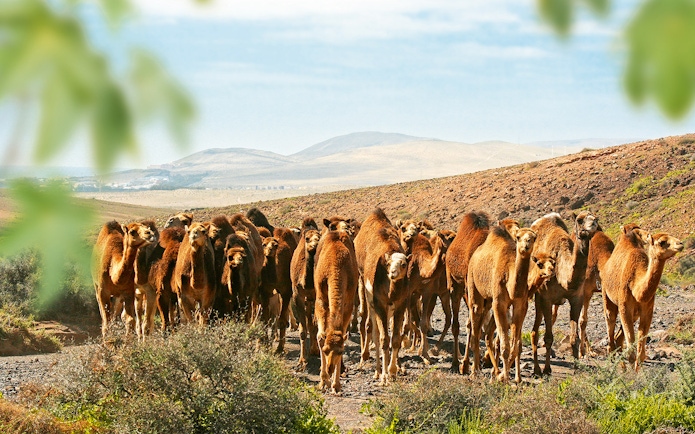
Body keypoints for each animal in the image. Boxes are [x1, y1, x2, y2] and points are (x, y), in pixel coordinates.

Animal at [314, 229, 359, 393]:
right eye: (325, 349)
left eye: (340, 352)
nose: (330, 368)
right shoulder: (320, 298)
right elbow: (320, 335)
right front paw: (323, 382)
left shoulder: (348, 302)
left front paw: (336, 385)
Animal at [354, 208, 409, 384]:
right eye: (389, 264)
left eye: (403, 264)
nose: (392, 273)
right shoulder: (379, 305)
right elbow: (384, 339)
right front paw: (385, 376)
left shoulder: (400, 305)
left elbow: (395, 339)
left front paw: (393, 371)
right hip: (365, 291)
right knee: (372, 329)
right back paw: (375, 369)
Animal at [467, 221, 537, 382]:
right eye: (518, 237)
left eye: (534, 238)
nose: (526, 245)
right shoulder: (499, 303)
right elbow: (505, 346)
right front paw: (503, 378)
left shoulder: (521, 305)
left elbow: (515, 346)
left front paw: (507, 377)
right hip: (473, 285)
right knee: (475, 327)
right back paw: (474, 372)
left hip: (487, 301)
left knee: (484, 332)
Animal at [530, 211, 598, 376]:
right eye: (579, 220)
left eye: (595, 217)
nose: (593, 223)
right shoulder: (546, 298)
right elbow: (548, 337)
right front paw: (547, 369)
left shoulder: (577, 298)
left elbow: (574, 338)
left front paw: (577, 367)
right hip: (537, 296)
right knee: (535, 331)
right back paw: (537, 369)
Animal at [601, 224, 683, 369]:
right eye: (662, 242)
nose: (680, 244)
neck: (636, 286)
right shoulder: (624, 307)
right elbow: (632, 352)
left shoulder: (647, 309)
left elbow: (640, 352)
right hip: (607, 295)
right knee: (610, 324)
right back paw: (614, 362)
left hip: (634, 313)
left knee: (618, 337)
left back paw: (621, 364)